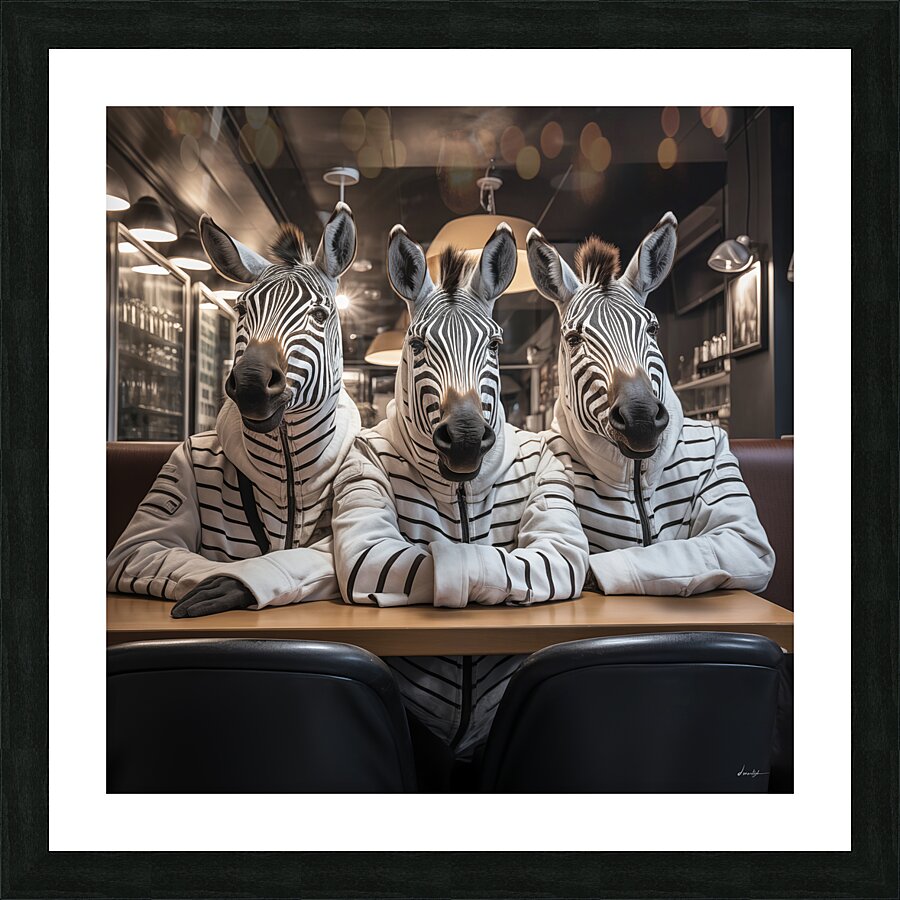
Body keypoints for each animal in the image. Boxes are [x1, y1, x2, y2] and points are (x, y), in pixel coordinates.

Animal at [106, 202, 361, 617]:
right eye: (241, 309)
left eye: (320, 316)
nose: (252, 384)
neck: (287, 458)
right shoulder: (146, 534)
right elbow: (146, 544)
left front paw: (235, 581)